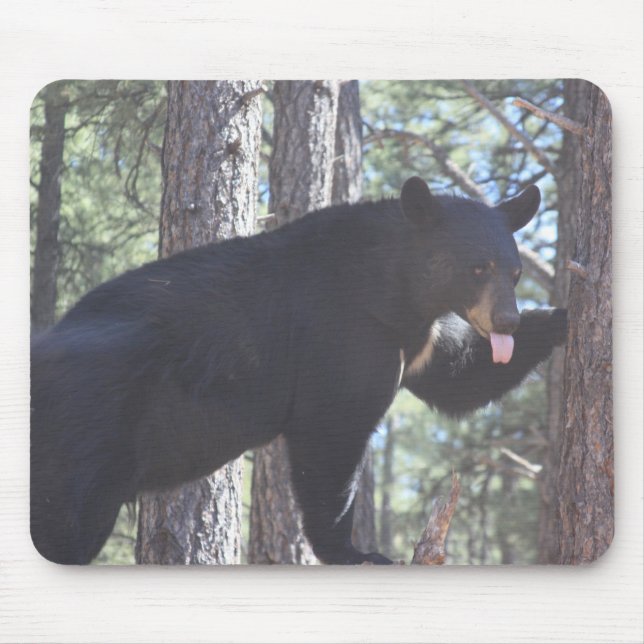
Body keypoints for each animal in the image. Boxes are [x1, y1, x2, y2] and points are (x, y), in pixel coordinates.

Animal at [30, 176, 567, 565]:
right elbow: (332, 431)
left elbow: (457, 377)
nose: (507, 320)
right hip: (89, 429)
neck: (395, 291)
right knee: (67, 519)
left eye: (515, 272)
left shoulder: (417, 338)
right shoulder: (344, 333)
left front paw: (562, 315)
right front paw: (354, 552)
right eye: (476, 268)